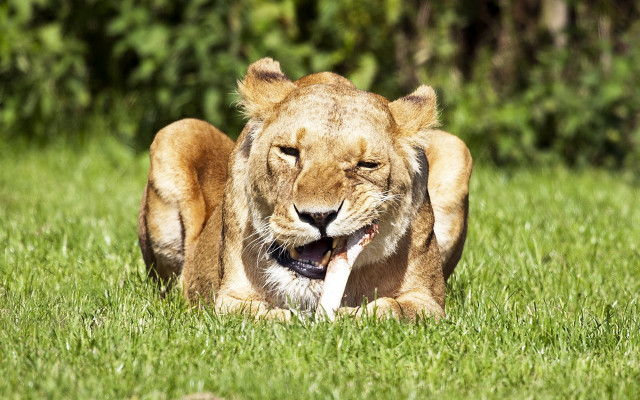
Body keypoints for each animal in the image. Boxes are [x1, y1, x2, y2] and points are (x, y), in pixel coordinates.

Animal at [138, 58, 472, 320]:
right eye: (289, 152)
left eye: (366, 165)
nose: (319, 217)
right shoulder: (230, 298)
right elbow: (257, 316)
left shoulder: (427, 300)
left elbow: (393, 311)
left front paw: (353, 317)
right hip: (175, 132)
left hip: (456, 147)